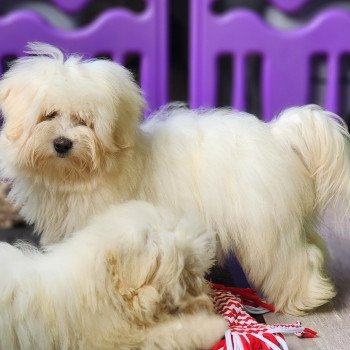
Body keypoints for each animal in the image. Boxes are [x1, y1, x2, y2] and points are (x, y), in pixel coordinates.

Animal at [0, 43, 350, 314]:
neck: (81, 175)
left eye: (84, 121)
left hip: (265, 228)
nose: (62, 143)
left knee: (294, 260)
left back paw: (306, 298)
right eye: (48, 115)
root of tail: (278, 136)